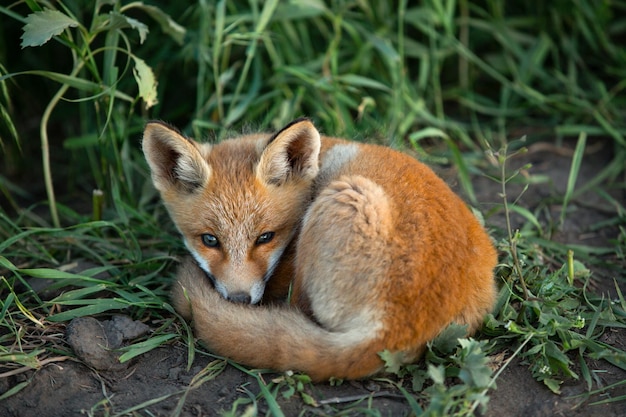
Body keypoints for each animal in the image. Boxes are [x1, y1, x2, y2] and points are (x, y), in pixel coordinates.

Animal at [143, 117, 498, 380]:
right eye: (210, 240)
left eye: (265, 237)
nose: (239, 300)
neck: (320, 162)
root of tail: (393, 332)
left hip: (342, 201)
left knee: (297, 308)